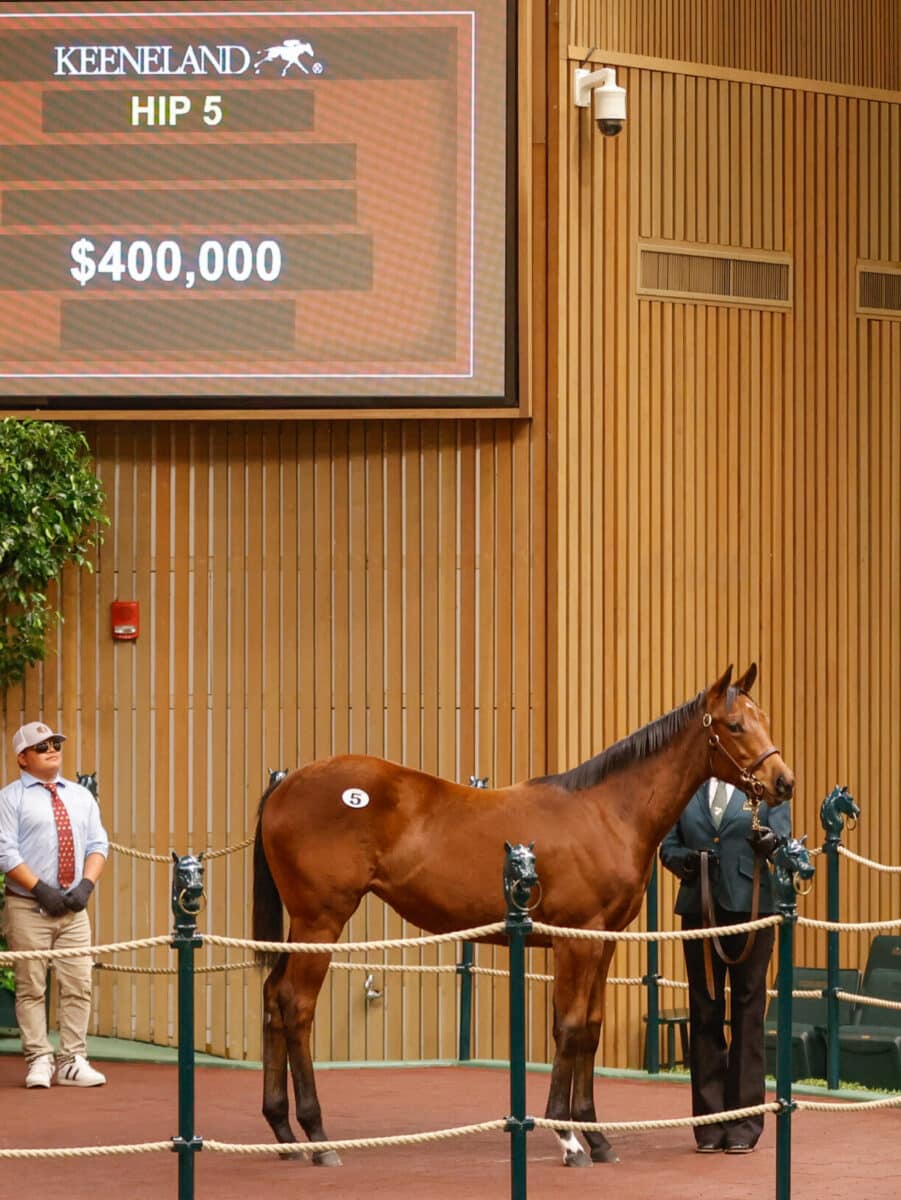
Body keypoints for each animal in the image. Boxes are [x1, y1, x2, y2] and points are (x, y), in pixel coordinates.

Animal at [250, 662, 791, 1166]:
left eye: (765, 718)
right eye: (736, 725)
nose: (783, 781)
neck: (607, 812)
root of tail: (286, 785)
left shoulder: (603, 942)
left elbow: (590, 1029)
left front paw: (597, 1138)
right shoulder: (576, 940)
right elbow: (569, 1028)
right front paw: (568, 1139)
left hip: (302, 927)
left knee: (274, 996)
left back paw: (284, 1131)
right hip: (320, 921)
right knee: (296, 1006)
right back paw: (318, 1137)